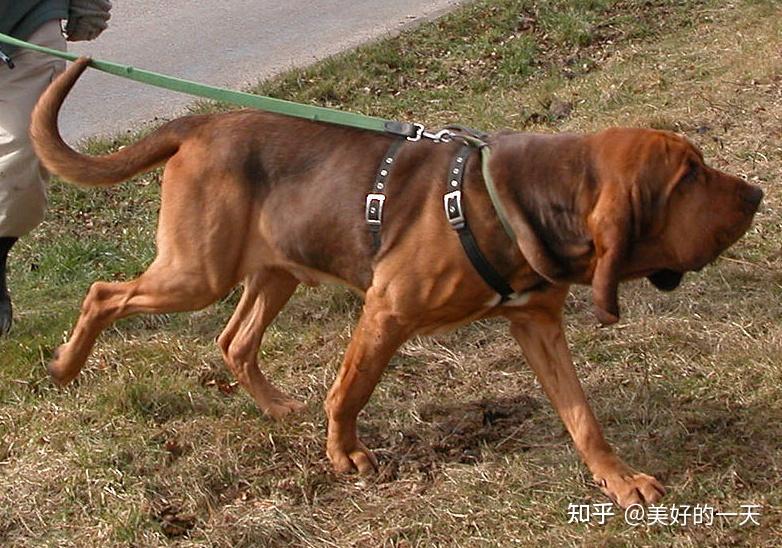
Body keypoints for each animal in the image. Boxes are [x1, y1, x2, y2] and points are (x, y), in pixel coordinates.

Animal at [32, 57, 764, 508]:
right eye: (689, 177)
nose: (757, 194)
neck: (519, 199)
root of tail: (201, 122)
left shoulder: (537, 323)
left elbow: (582, 415)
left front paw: (619, 481)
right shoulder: (386, 311)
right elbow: (349, 391)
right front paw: (345, 457)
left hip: (274, 272)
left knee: (233, 341)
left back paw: (275, 408)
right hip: (196, 273)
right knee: (104, 295)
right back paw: (64, 367)